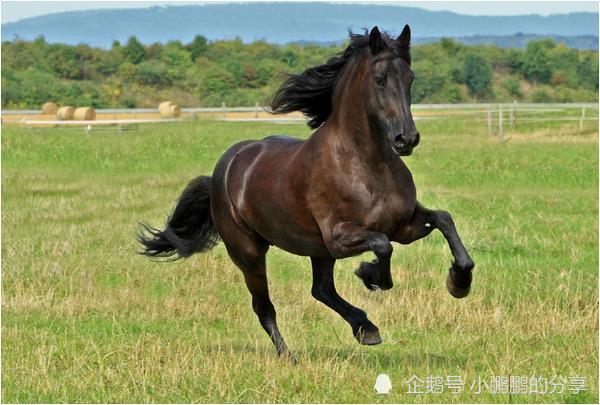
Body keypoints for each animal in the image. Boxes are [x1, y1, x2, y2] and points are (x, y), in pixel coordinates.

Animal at [138, 26, 476, 358]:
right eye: (379, 79)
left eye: (410, 78)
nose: (406, 139)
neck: (366, 164)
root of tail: (222, 170)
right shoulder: (339, 237)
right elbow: (382, 245)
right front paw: (369, 275)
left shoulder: (403, 226)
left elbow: (444, 219)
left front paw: (459, 281)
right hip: (249, 252)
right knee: (264, 306)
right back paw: (289, 356)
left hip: (316, 250)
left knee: (321, 290)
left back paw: (365, 328)